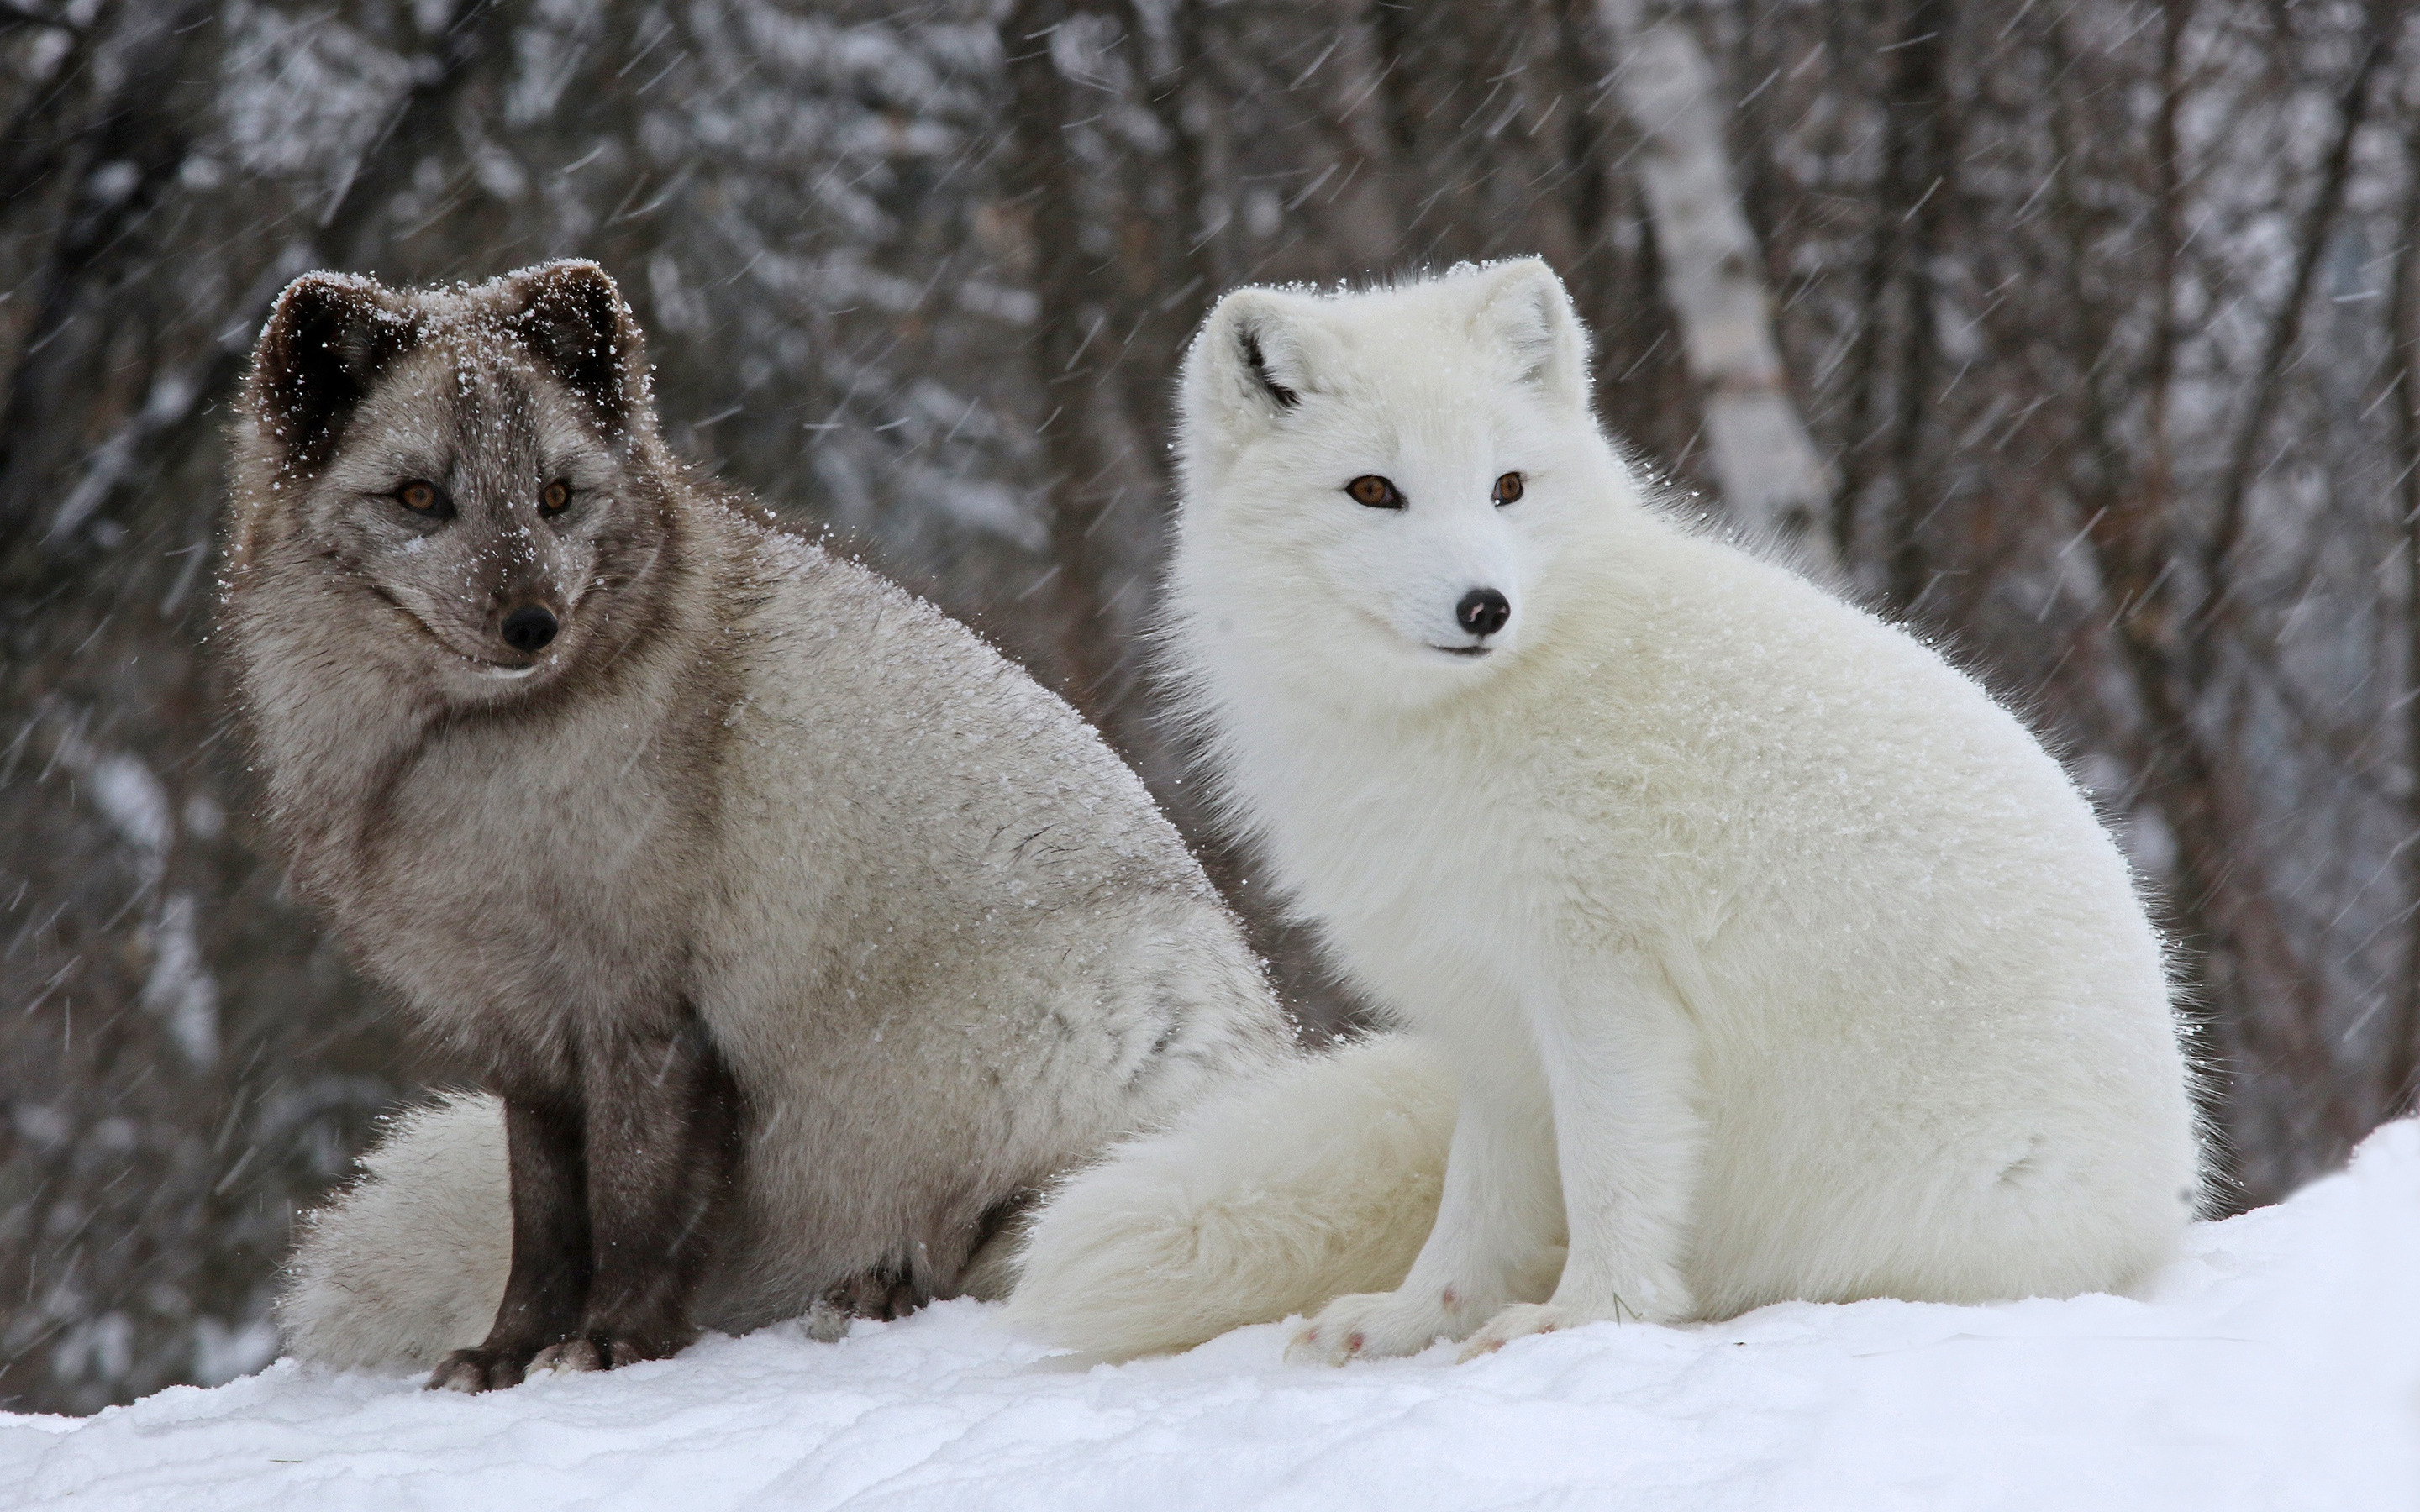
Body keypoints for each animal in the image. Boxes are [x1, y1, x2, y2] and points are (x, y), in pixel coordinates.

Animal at [220, 262, 1297, 1393]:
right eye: (420, 498)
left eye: (556, 497)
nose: (531, 625)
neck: (452, 750)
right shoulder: (521, 1037)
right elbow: (546, 1221)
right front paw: (507, 1353)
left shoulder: (645, 1008)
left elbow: (634, 1206)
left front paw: (609, 1344)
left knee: (1020, 1244)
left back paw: (883, 1287)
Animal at [992, 262, 2207, 1364]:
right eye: (1373, 491)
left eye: (1508, 487)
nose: (1485, 606)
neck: (1475, 712)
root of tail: (2169, 1204)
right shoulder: (1488, 1012)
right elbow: (1476, 1209)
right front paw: (1414, 1324)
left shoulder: (1602, 983)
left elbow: (1612, 1172)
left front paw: (1588, 1320)